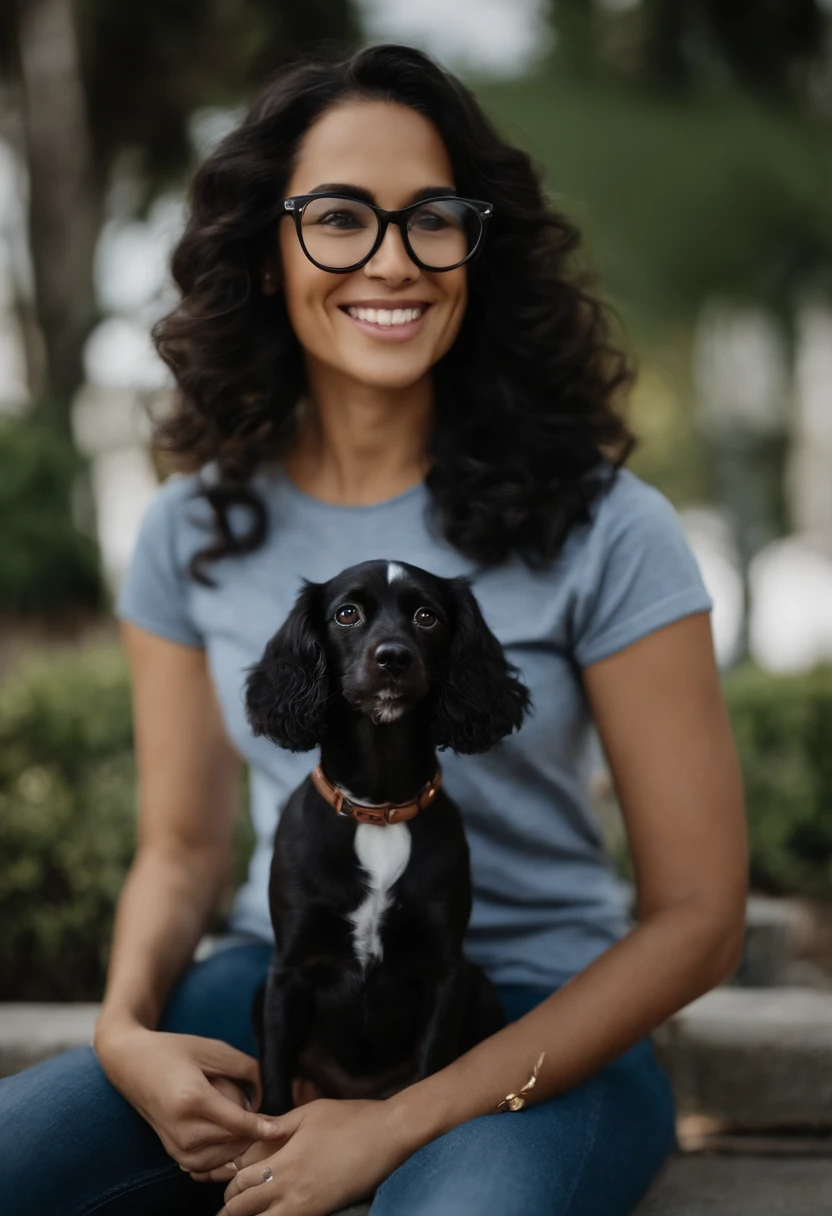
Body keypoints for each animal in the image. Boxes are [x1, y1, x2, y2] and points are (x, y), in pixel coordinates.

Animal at [246, 559, 530, 1113]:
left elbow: (432, 1072)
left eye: (427, 616)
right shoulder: (287, 971)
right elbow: (275, 1083)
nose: (394, 656)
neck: (378, 810)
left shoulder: (446, 971)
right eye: (347, 613)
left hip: (480, 986)